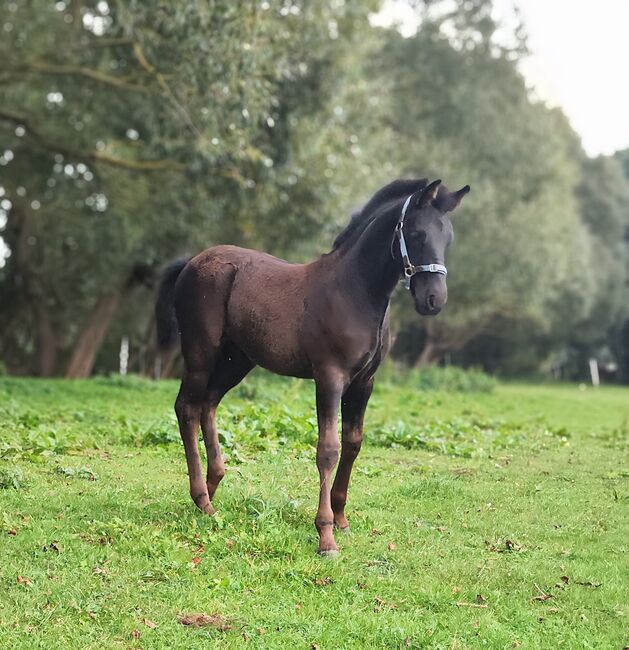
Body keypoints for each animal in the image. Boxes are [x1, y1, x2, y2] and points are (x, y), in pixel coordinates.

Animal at [155, 180, 468, 556]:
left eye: (447, 237)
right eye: (418, 233)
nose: (434, 300)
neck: (354, 290)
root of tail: (192, 262)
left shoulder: (364, 382)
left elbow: (353, 443)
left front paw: (342, 518)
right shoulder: (329, 376)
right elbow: (328, 450)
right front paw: (326, 536)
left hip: (237, 361)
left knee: (208, 405)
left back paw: (213, 489)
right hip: (200, 354)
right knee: (187, 408)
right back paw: (202, 498)